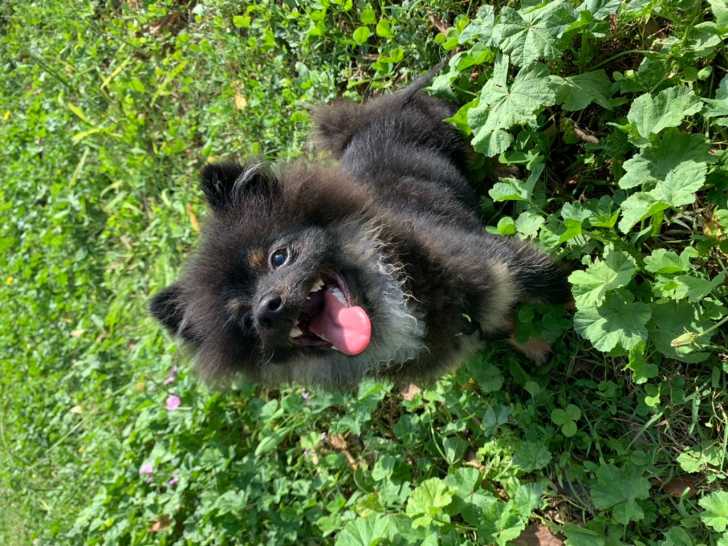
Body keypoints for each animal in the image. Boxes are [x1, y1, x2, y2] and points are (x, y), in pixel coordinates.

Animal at [149, 72, 570, 389]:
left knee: (486, 137)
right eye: (244, 320)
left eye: (279, 257)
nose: (267, 307)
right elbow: (506, 326)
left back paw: (507, 172)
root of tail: (366, 116)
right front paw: (533, 343)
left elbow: (559, 287)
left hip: (454, 129)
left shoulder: (503, 261)